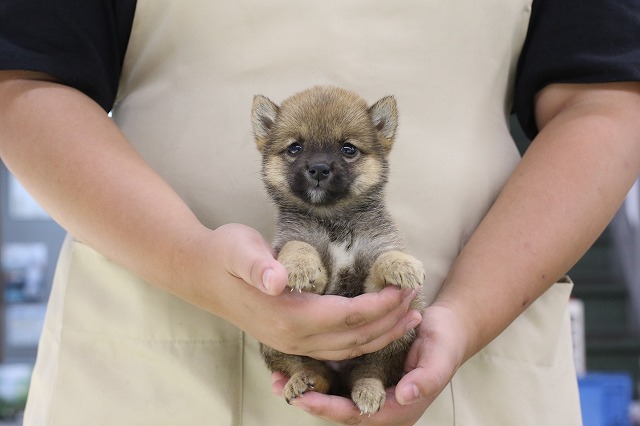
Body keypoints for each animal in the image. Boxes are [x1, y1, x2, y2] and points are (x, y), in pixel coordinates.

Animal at [251, 85, 424, 414]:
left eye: (348, 149)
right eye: (295, 148)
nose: (319, 168)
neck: (333, 220)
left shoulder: (372, 275)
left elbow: (384, 257)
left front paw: (401, 264)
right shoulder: (301, 248)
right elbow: (298, 245)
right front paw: (301, 266)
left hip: (396, 339)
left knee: (372, 371)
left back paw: (367, 391)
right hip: (273, 342)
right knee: (308, 369)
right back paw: (304, 381)